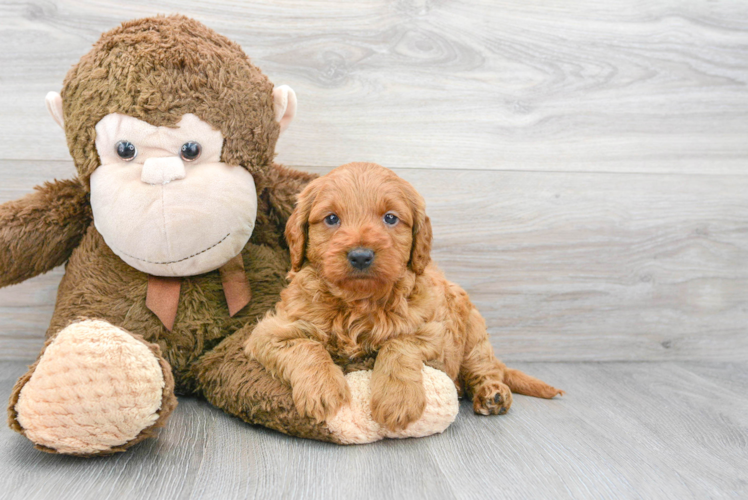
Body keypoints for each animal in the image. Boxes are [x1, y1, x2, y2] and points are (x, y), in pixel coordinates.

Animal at [245, 163, 560, 430]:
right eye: (331, 218)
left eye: (390, 218)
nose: (361, 255)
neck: (359, 302)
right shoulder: (272, 330)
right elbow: (307, 347)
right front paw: (323, 390)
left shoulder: (434, 332)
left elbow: (397, 345)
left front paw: (397, 400)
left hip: (473, 332)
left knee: (485, 367)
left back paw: (491, 393)